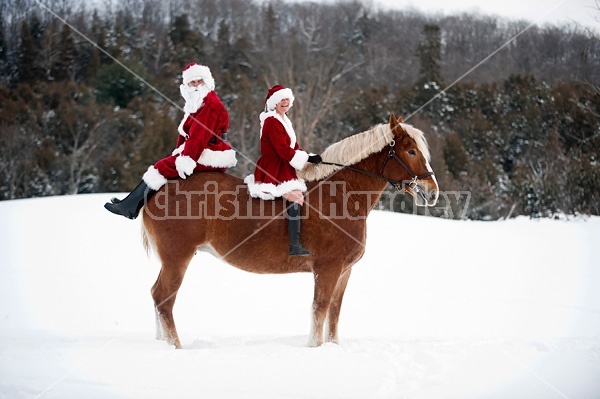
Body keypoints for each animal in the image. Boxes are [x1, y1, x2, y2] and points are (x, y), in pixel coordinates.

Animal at [142, 113, 438, 350]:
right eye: (411, 151)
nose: (432, 191)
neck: (341, 195)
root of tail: (156, 190)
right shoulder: (327, 268)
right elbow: (320, 309)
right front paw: (314, 348)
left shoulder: (344, 271)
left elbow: (334, 312)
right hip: (178, 258)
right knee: (163, 299)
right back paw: (175, 347)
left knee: (157, 297)